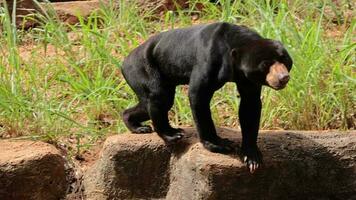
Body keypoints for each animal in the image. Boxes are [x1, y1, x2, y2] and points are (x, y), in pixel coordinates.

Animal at [121, 21, 294, 172]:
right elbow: (198, 95)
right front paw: (220, 144)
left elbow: (249, 105)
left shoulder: (247, 79)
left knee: (151, 102)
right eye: (265, 64)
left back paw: (137, 125)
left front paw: (252, 158)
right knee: (160, 97)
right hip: (142, 68)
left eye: (284, 59)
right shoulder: (209, 60)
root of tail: (124, 62)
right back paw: (172, 134)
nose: (283, 78)